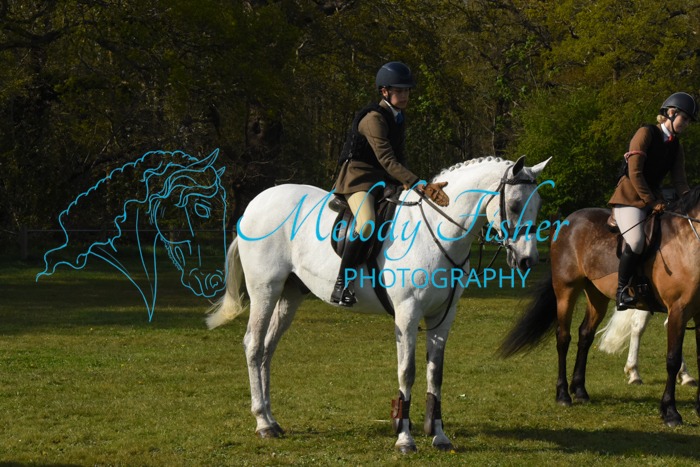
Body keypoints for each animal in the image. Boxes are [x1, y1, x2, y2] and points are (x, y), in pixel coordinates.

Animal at [206, 155, 553, 452]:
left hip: (289, 295)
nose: (528, 259)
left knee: (267, 349)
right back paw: (262, 423)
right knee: (253, 345)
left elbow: (435, 374)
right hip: (265, 290)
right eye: (515, 204)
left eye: (537, 204)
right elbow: (407, 371)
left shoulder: (443, 317)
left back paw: (272, 419)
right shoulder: (408, 313)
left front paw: (439, 436)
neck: (438, 232)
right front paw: (404, 439)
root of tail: (255, 204)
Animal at [499, 186, 700, 427]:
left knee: (585, 334)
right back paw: (563, 395)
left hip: (597, 295)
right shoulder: (679, 310)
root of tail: (567, 220)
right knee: (563, 337)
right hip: (566, 291)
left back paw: (580, 390)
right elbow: (672, 359)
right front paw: (670, 412)